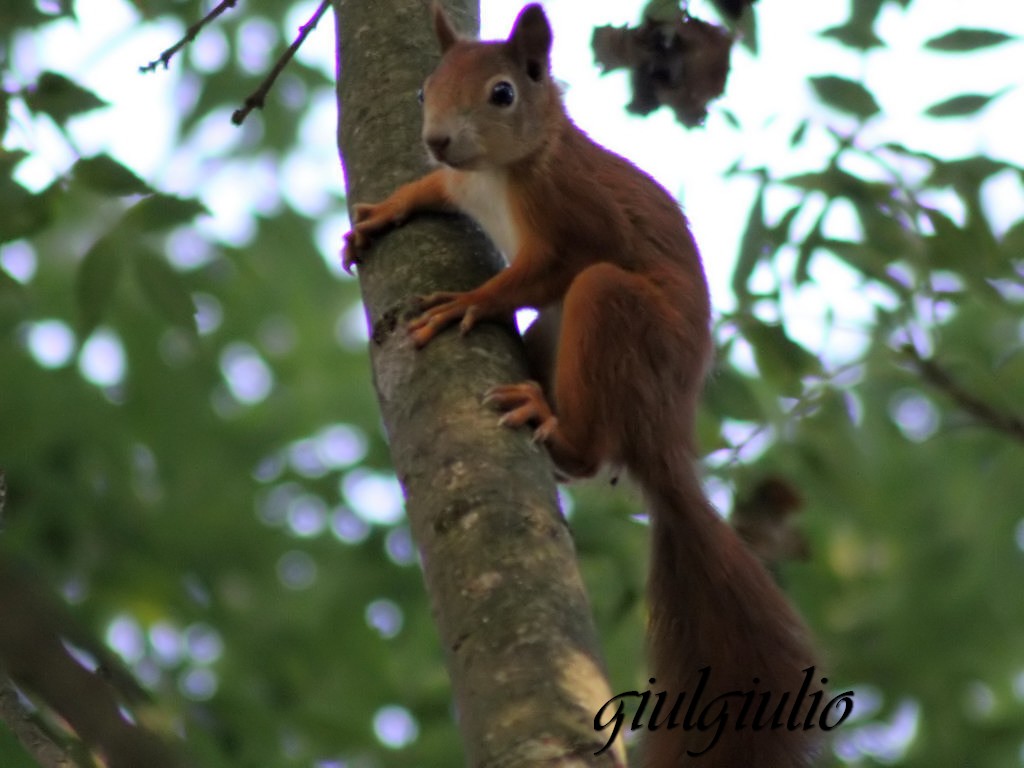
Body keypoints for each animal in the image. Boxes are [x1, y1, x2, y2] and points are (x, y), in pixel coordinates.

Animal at [344, 4, 820, 766]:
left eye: (503, 93)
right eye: (423, 90)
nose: (438, 141)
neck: (502, 170)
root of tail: (665, 436)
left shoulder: (576, 219)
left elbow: (539, 271)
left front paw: (464, 302)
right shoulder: (458, 182)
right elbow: (433, 190)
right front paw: (389, 208)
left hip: (611, 315)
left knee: (597, 417)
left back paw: (556, 430)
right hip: (557, 336)